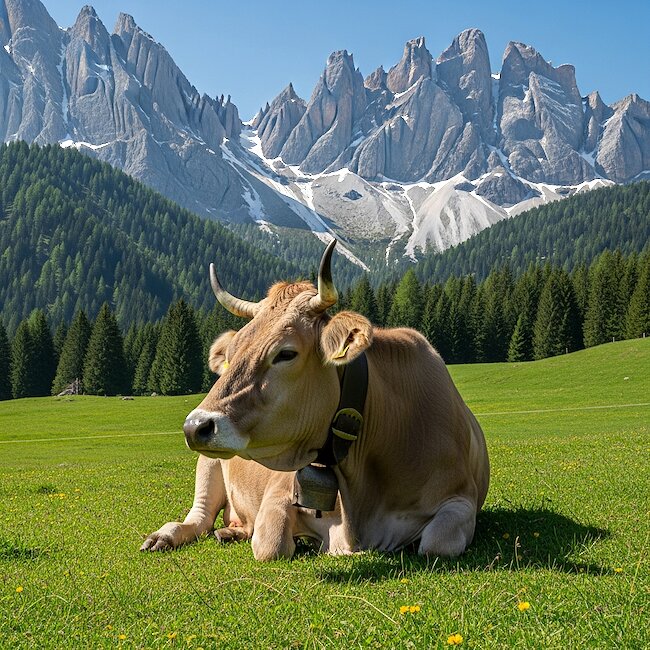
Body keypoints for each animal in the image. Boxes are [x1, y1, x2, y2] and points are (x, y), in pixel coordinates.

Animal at [142, 240, 489, 560]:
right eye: (231, 354)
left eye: (285, 353)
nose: (195, 426)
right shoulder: (280, 491)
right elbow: (271, 545)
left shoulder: (461, 499)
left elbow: (437, 544)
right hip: (209, 463)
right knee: (198, 519)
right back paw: (165, 536)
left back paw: (231, 531)